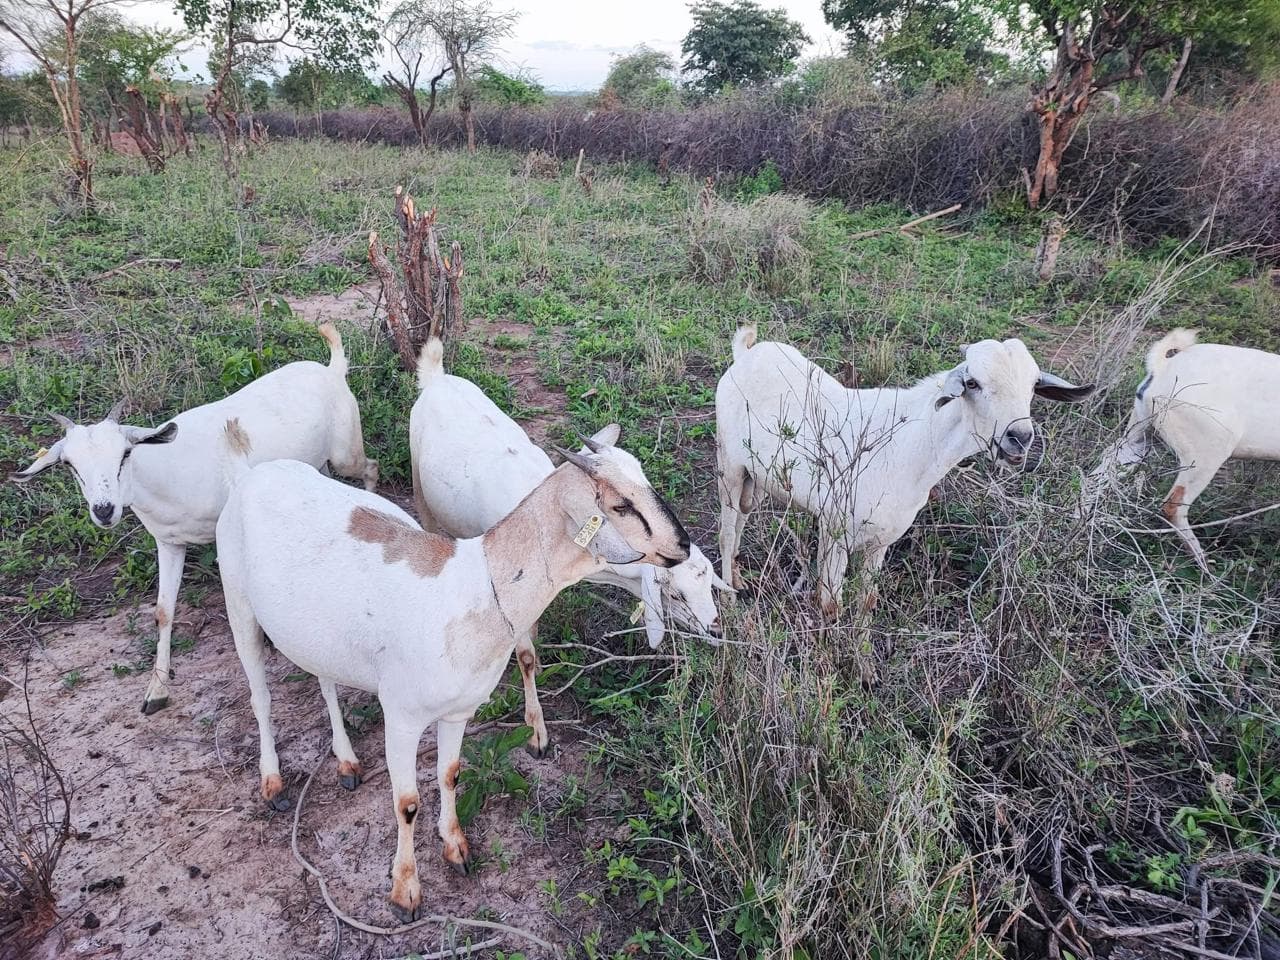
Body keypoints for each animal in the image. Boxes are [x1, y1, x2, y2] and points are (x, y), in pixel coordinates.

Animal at [11, 324, 378, 714]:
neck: (166, 471)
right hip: (319, 463)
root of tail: (332, 369)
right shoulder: (168, 542)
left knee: (370, 467)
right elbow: (163, 610)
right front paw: (156, 692)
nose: (104, 510)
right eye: (69, 464)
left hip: (345, 452)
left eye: (125, 453)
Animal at [214, 421, 689, 922]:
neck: (477, 587)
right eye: (621, 505)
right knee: (260, 697)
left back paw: (346, 761)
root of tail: (248, 475)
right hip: (238, 602)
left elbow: (450, 774)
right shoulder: (401, 715)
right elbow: (406, 803)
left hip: (316, 634)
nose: (682, 546)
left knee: (323, 678)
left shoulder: (459, 710)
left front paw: (456, 848)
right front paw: (405, 893)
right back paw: (273, 783)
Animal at [409, 338, 730, 757]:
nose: (716, 629)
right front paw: (536, 729)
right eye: (674, 594)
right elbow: (525, 656)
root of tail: (436, 377)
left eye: (707, 580)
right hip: (419, 484)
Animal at [716, 324, 1093, 621]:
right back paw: (729, 597)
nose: (1020, 437)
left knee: (743, 516)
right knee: (726, 530)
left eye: (1033, 386)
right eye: (972, 382)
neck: (910, 446)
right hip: (729, 466)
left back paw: (737, 576)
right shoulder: (834, 530)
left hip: (757, 477)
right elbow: (830, 605)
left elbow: (867, 601)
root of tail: (747, 354)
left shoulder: (883, 539)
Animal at [1081, 329, 1280, 569]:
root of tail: (1164, 368)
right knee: (1173, 506)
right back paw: (1205, 567)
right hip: (1205, 457)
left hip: (1138, 439)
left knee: (1101, 471)